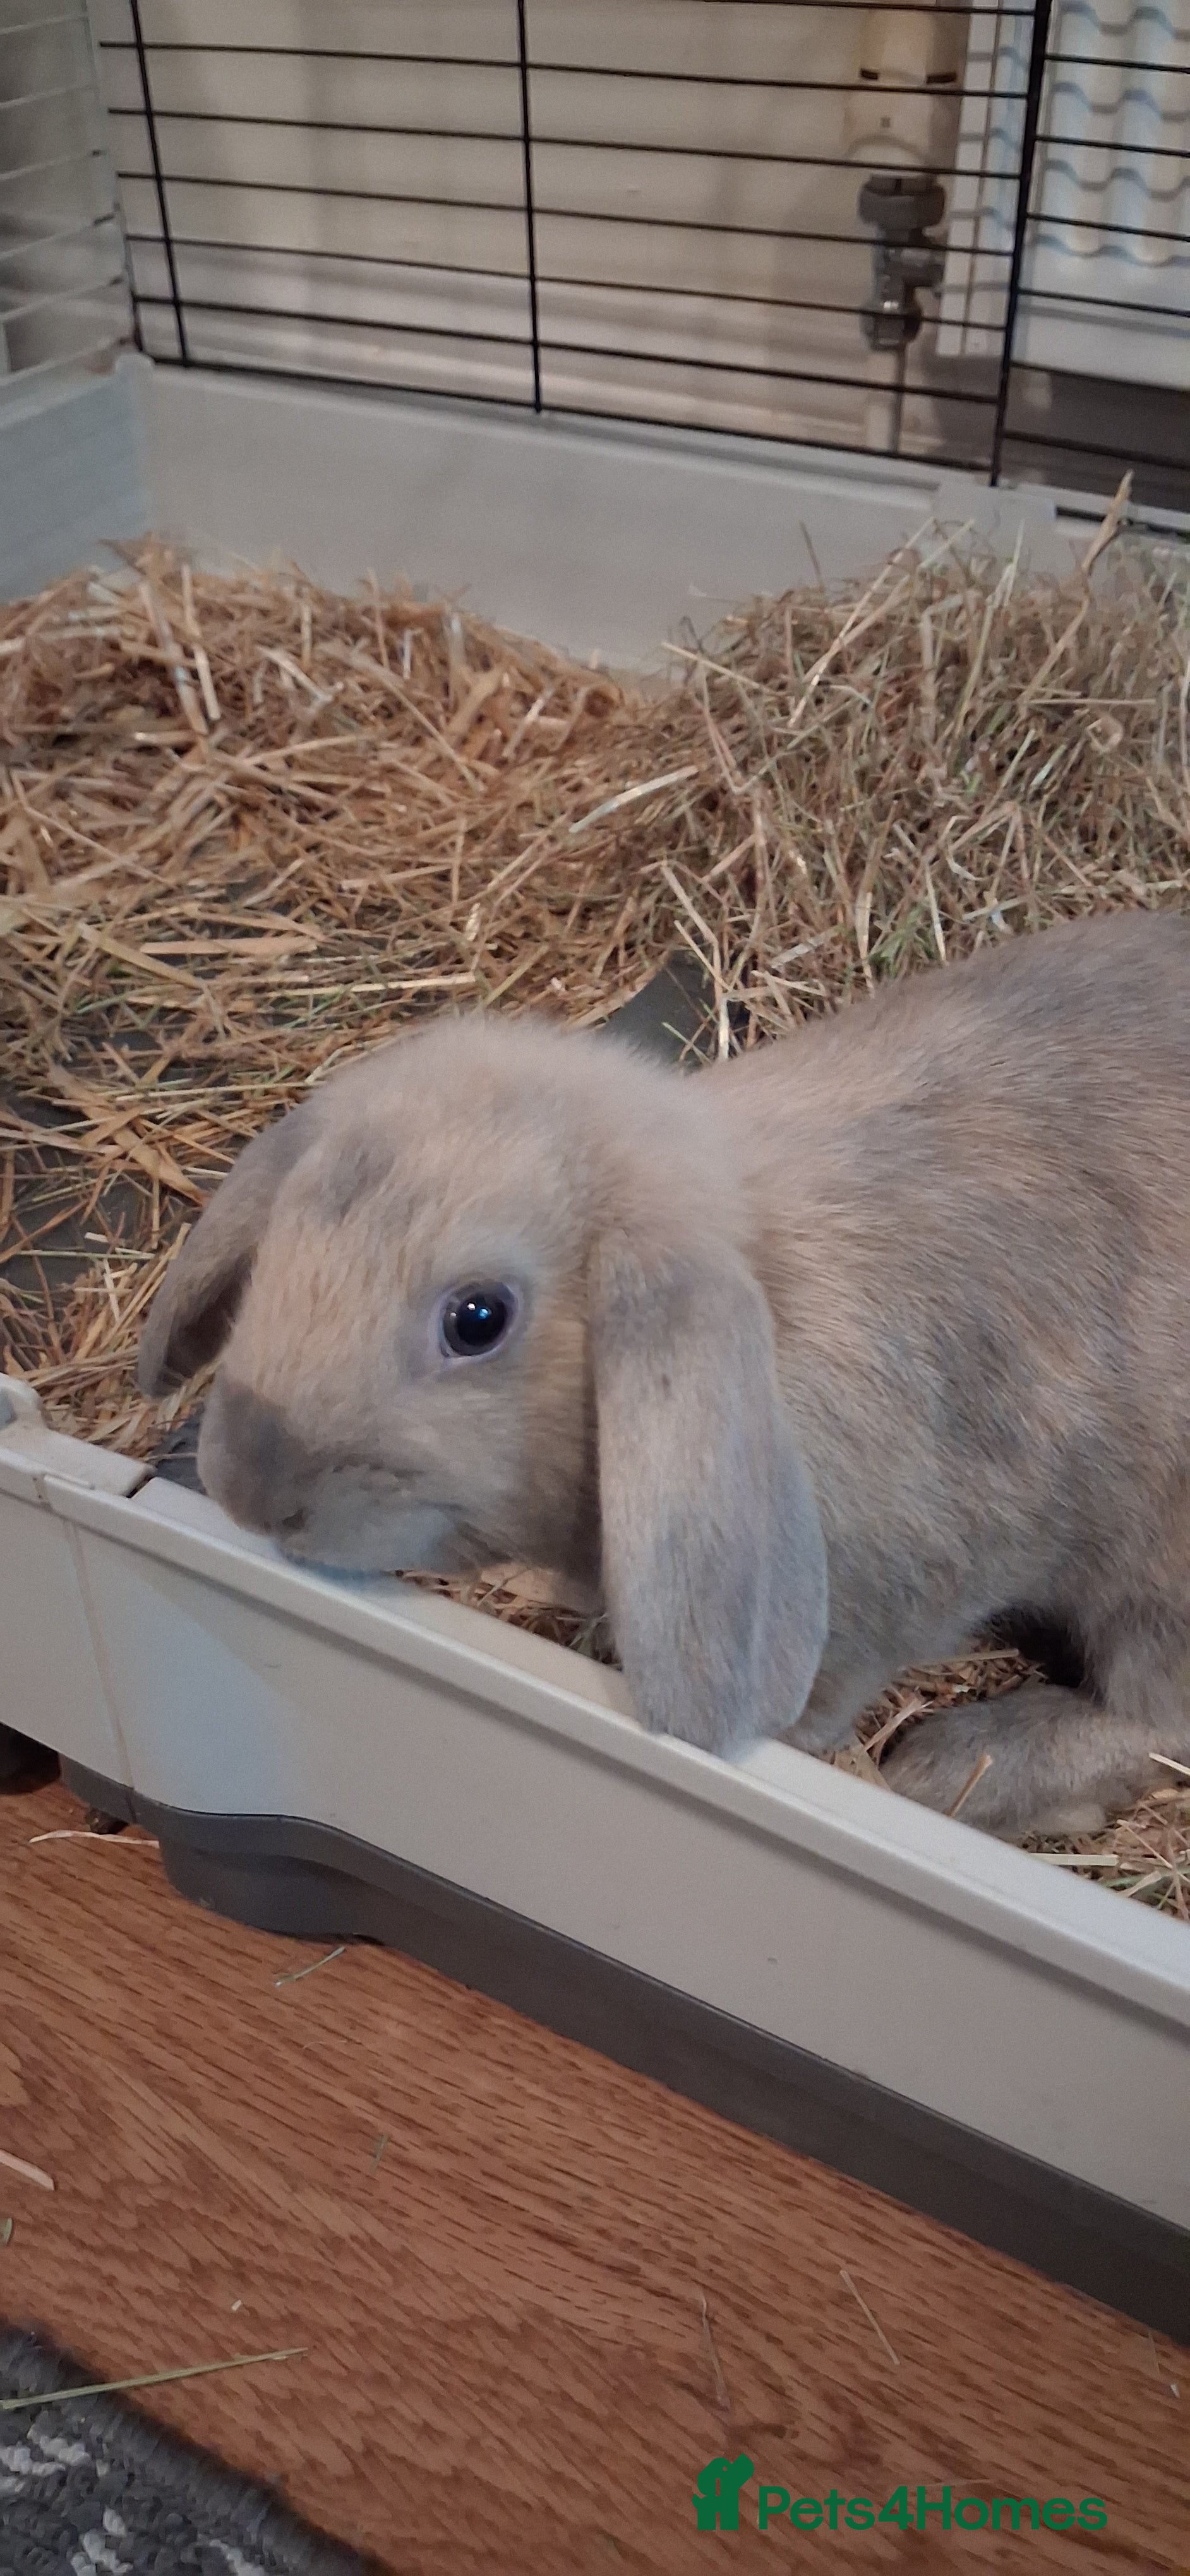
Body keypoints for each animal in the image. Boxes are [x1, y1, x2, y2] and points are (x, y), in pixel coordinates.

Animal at [137, 911, 1190, 1843]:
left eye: (478, 1320)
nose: (247, 1488)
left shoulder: (890, 1597)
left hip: (1154, 1584)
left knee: (1151, 1718)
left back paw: (954, 1768)